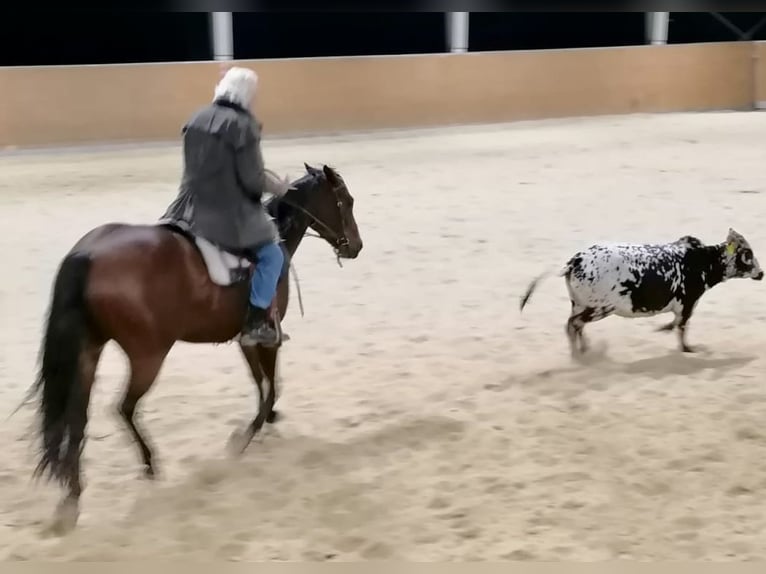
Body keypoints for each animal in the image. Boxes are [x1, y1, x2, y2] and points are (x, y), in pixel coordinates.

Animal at [30, 162, 363, 533]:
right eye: (346, 201)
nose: (356, 246)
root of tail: (86, 254)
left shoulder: (246, 340)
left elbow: (262, 385)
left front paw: (266, 422)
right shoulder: (267, 337)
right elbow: (271, 387)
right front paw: (242, 439)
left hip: (89, 352)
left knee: (78, 420)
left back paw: (72, 500)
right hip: (148, 355)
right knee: (124, 408)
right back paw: (149, 465)